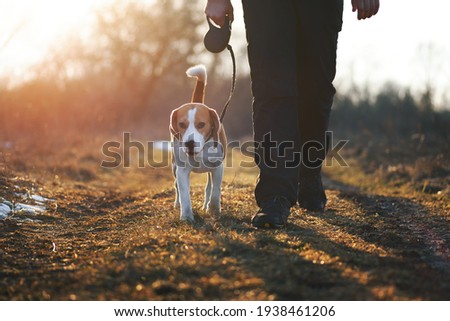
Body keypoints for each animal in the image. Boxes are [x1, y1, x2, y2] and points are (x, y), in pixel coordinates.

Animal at [170, 64, 227, 221]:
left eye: (201, 124)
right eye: (182, 124)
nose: (189, 143)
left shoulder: (217, 167)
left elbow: (215, 191)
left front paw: (214, 210)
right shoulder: (182, 170)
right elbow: (184, 194)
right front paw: (186, 216)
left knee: (209, 187)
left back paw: (206, 205)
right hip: (174, 167)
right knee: (176, 187)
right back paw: (177, 203)